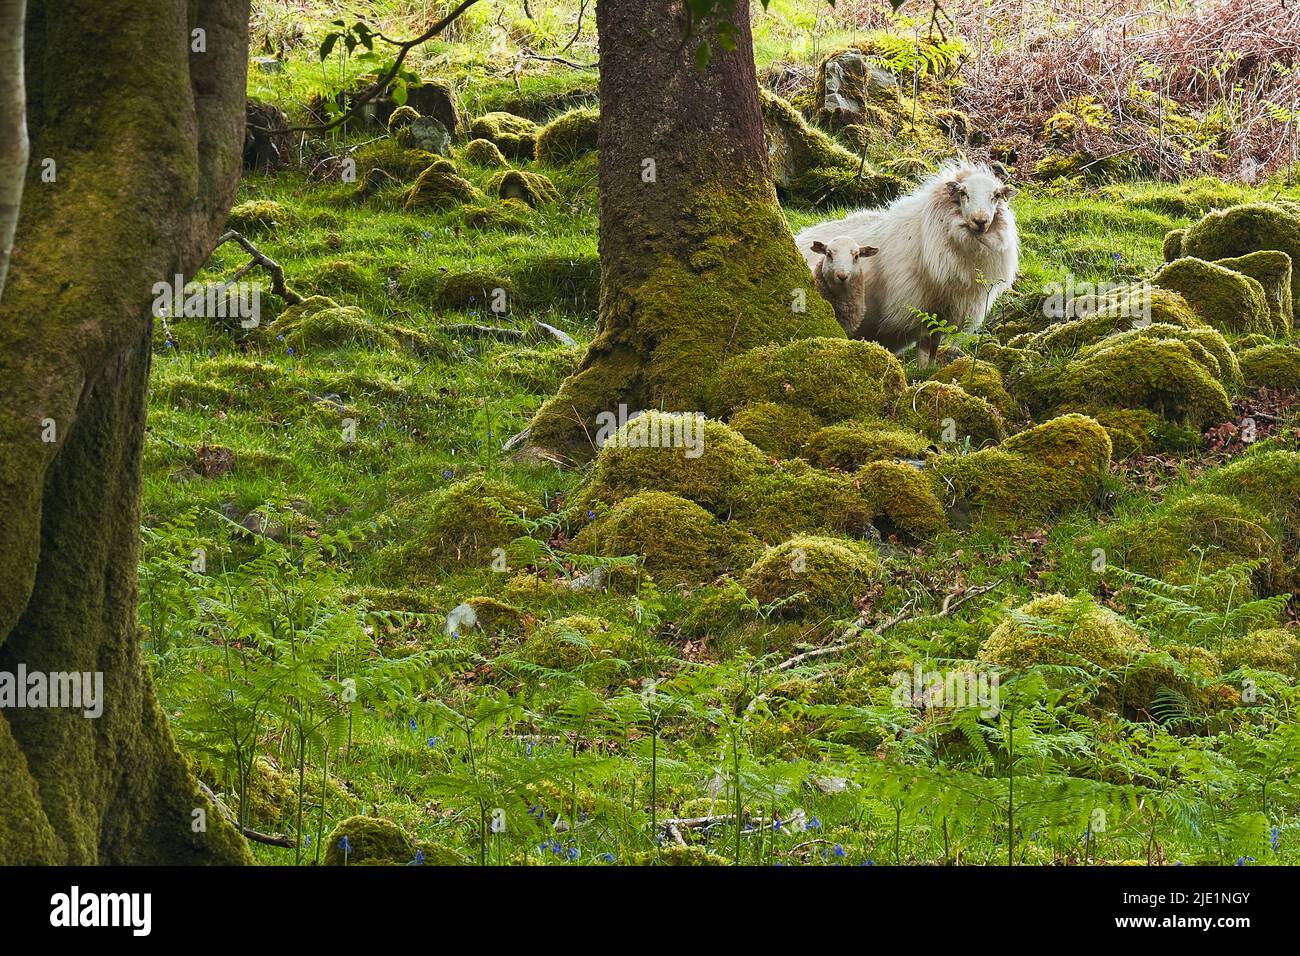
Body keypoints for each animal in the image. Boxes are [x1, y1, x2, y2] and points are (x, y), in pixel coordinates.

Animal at [795, 162, 1019, 369]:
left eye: (995, 196)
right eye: (963, 193)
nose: (981, 221)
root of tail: (800, 235)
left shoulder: (944, 310)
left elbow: (934, 345)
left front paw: (931, 369)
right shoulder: (919, 305)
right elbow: (925, 344)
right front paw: (922, 371)